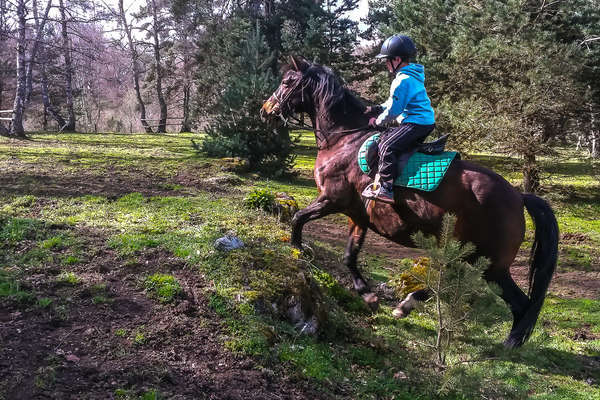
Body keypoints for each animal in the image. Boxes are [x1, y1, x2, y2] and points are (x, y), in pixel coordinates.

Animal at [260, 56, 560, 346]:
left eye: (286, 82)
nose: (265, 110)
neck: (344, 140)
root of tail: (518, 196)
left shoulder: (331, 200)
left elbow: (298, 218)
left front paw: (297, 250)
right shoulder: (357, 215)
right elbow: (349, 256)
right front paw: (368, 296)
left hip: (490, 264)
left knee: (511, 299)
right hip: (477, 258)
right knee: (475, 285)